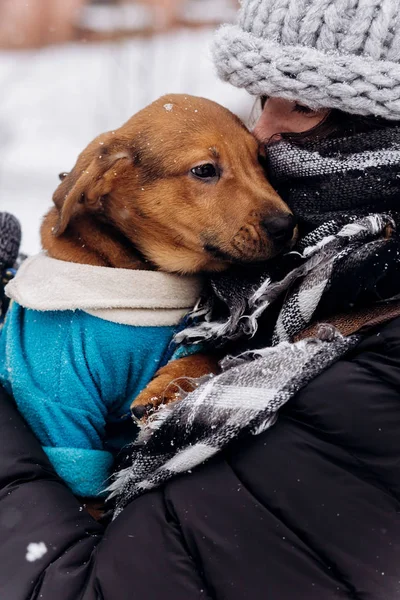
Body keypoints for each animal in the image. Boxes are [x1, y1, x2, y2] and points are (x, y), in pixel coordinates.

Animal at [41, 96, 296, 420]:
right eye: (204, 170)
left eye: (261, 160)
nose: (286, 225)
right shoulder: (59, 394)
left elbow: (213, 355)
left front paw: (170, 386)